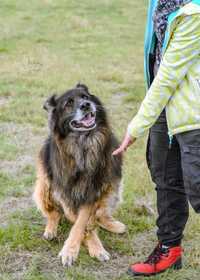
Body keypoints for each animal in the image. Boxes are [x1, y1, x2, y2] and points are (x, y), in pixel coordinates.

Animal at [33, 83, 126, 266]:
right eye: (68, 103)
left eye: (85, 97)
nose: (86, 105)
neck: (83, 143)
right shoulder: (65, 193)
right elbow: (78, 222)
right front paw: (73, 250)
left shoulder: (93, 190)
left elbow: (82, 221)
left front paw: (89, 247)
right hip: (44, 184)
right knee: (54, 213)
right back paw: (51, 229)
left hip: (113, 184)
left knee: (101, 213)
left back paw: (111, 224)